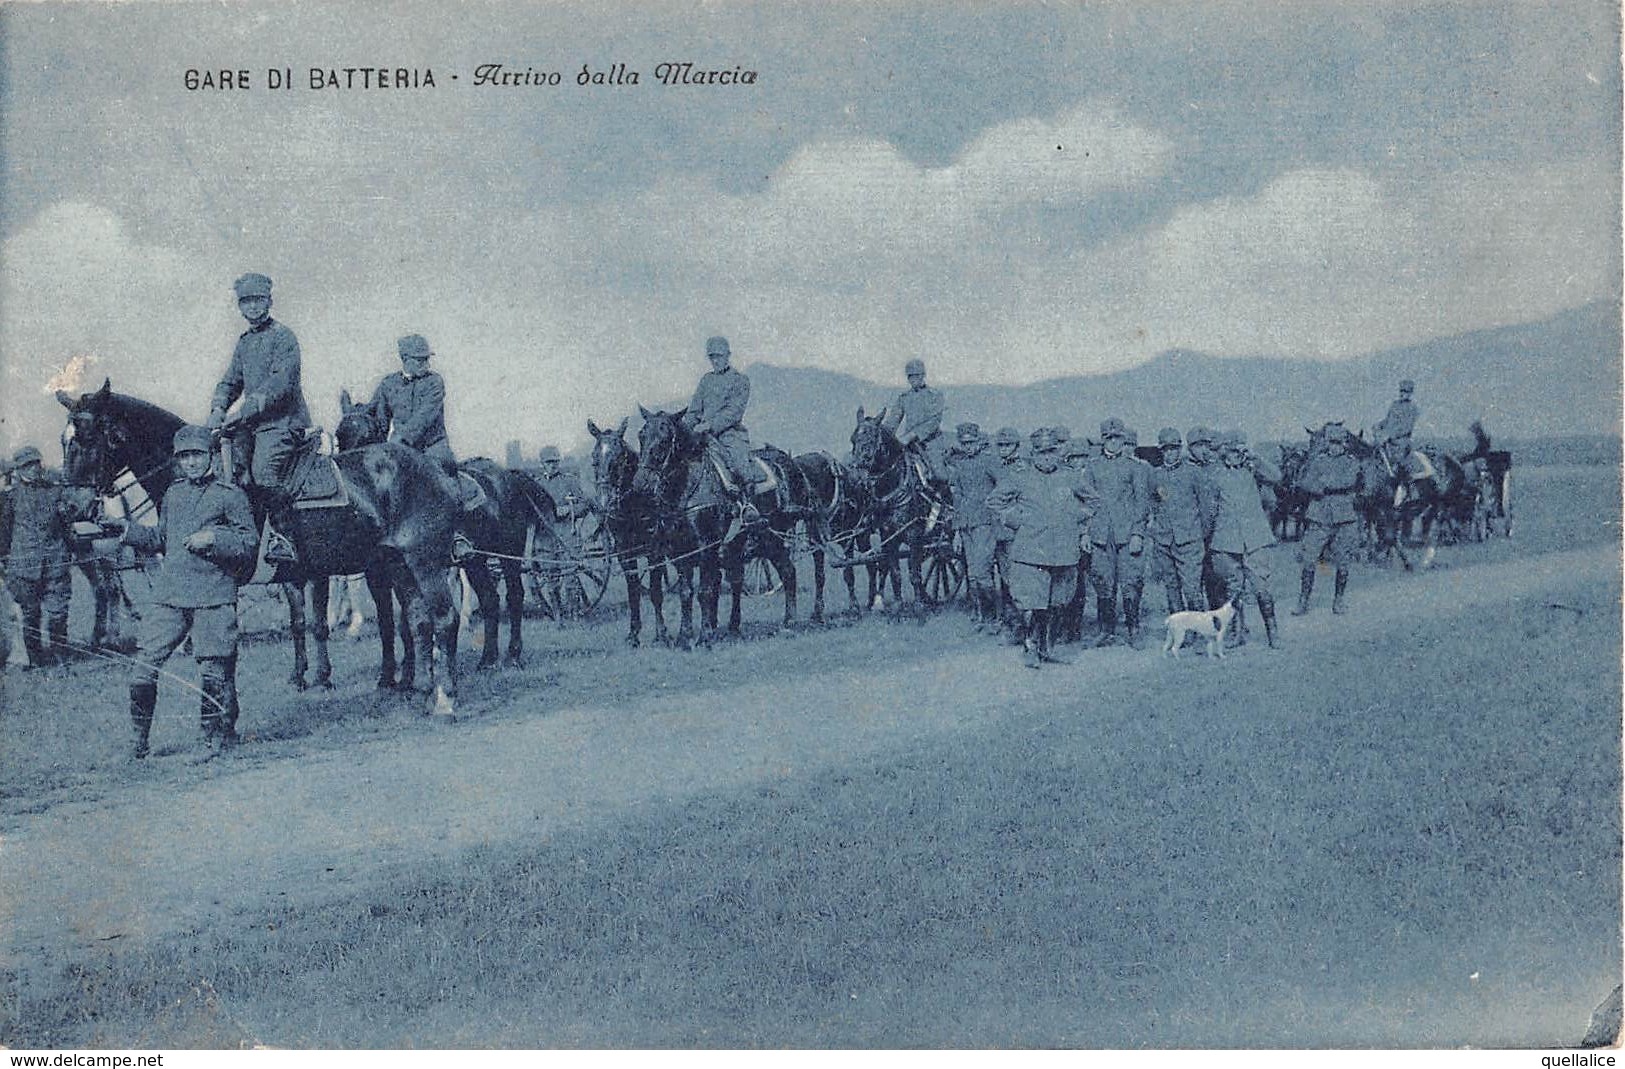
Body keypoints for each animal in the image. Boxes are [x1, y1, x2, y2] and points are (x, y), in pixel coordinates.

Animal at [62, 378, 458, 711]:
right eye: (64, 441)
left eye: (88, 438)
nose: (71, 508)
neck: (198, 477)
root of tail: (434, 469)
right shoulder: (294, 576)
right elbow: (298, 624)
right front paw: (300, 678)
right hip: (396, 566)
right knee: (417, 620)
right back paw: (419, 686)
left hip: (424, 562)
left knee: (443, 618)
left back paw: (443, 696)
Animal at [588, 414, 669, 640]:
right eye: (594, 458)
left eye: (620, 458)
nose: (604, 502)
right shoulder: (625, 553)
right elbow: (633, 590)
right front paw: (633, 633)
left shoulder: (654, 552)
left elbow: (655, 591)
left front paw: (661, 633)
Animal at [845, 407, 949, 607]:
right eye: (853, 440)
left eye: (870, 440)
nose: (854, 476)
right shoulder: (889, 536)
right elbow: (896, 574)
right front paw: (899, 606)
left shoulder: (914, 535)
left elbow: (914, 573)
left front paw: (919, 606)